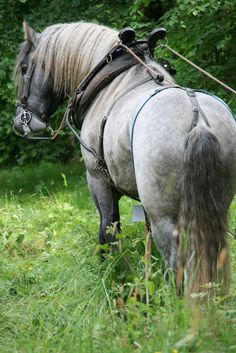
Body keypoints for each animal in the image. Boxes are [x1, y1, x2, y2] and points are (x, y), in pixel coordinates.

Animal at [13, 21, 236, 294]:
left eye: (25, 68)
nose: (21, 121)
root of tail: (197, 120)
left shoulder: (98, 181)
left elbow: (108, 229)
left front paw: (109, 272)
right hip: (216, 209)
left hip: (166, 219)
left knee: (177, 269)